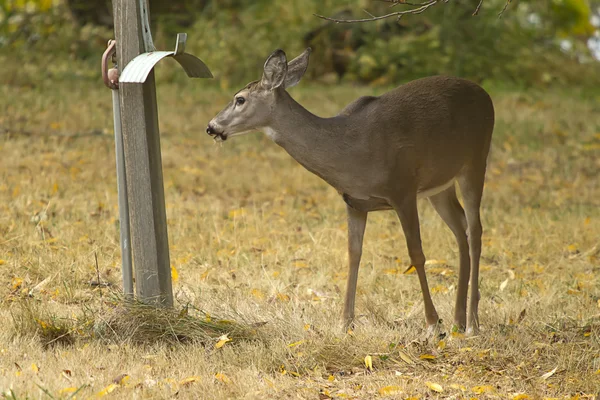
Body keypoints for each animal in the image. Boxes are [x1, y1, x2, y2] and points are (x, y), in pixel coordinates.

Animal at [209, 47, 494, 334]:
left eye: (240, 99)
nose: (211, 126)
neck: (351, 151)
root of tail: (485, 94)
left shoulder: (403, 188)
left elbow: (416, 254)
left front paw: (433, 324)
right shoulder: (354, 201)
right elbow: (353, 253)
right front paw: (345, 322)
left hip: (475, 160)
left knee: (475, 230)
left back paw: (472, 321)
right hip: (440, 185)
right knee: (461, 229)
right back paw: (458, 319)